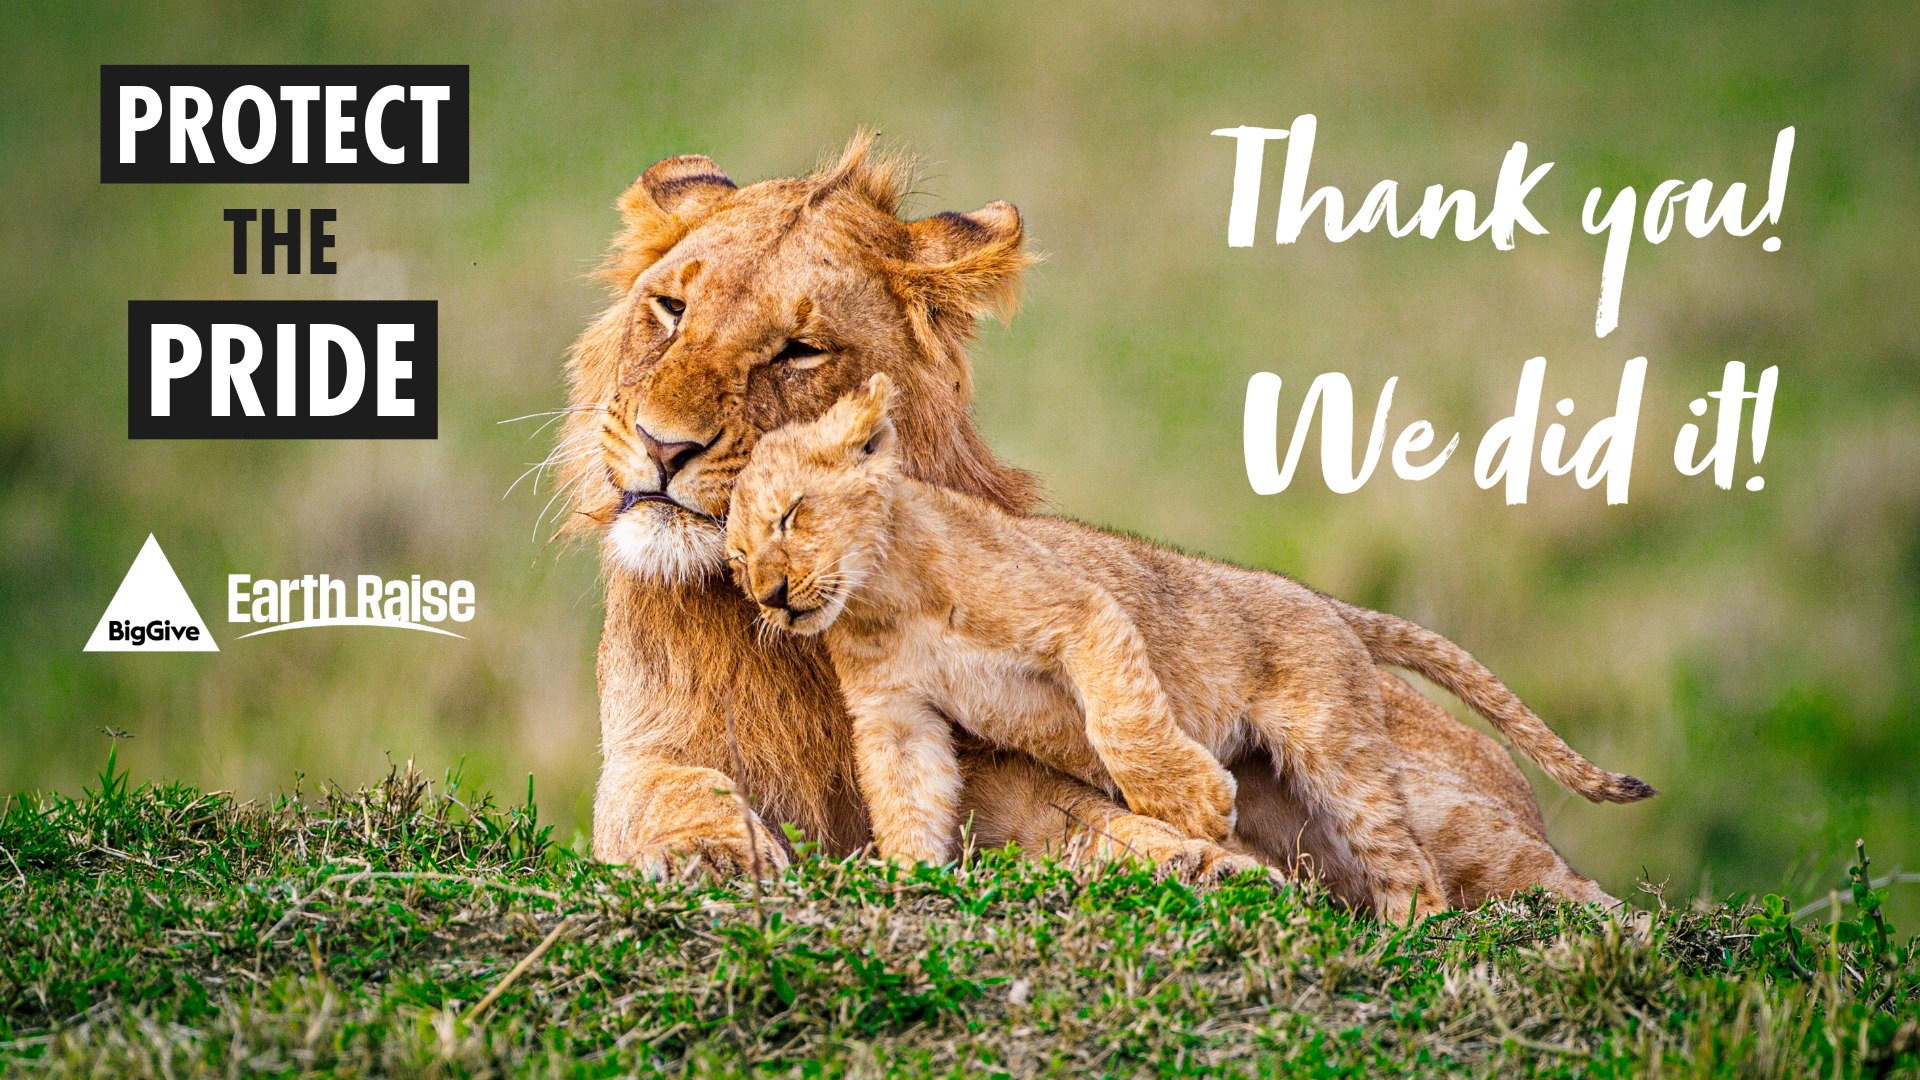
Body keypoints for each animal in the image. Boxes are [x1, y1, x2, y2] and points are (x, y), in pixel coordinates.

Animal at [556, 134, 1638, 908]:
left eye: (799, 349)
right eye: (669, 309)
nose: (660, 447)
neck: (781, 644)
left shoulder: (1013, 746)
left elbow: (1090, 816)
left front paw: (1198, 852)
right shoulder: (652, 752)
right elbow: (662, 798)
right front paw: (714, 853)